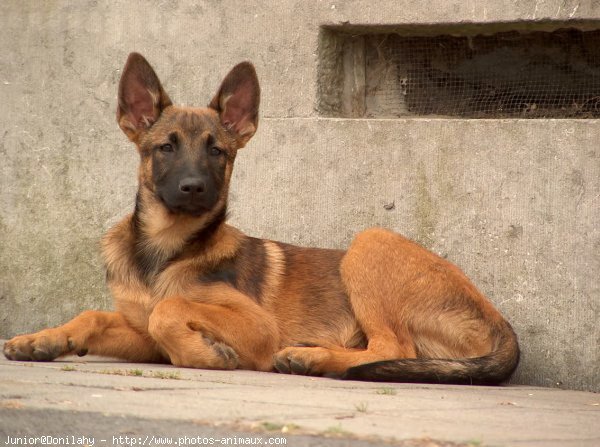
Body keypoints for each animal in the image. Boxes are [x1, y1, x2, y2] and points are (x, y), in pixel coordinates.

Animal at [4, 51, 516, 382]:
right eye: (166, 147)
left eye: (217, 151)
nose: (195, 188)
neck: (165, 250)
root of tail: (500, 323)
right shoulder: (138, 330)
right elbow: (96, 314)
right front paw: (42, 340)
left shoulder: (256, 326)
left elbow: (170, 309)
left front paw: (208, 354)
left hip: (370, 241)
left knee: (391, 348)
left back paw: (311, 359)